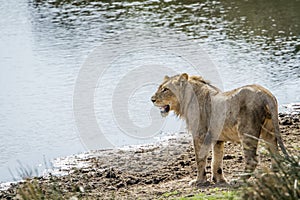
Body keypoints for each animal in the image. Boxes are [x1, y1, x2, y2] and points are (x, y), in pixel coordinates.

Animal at [151, 73, 290, 186]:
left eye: (165, 89)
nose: (152, 99)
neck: (186, 100)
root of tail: (266, 93)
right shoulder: (217, 138)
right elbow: (216, 160)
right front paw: (219, 179)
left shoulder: (199, 135)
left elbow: (200, 159)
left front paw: (199, 181)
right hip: (269, 131)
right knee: (275, 153)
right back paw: (270, 173)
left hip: (246, 131)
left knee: (252, 159)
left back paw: (239, 180)